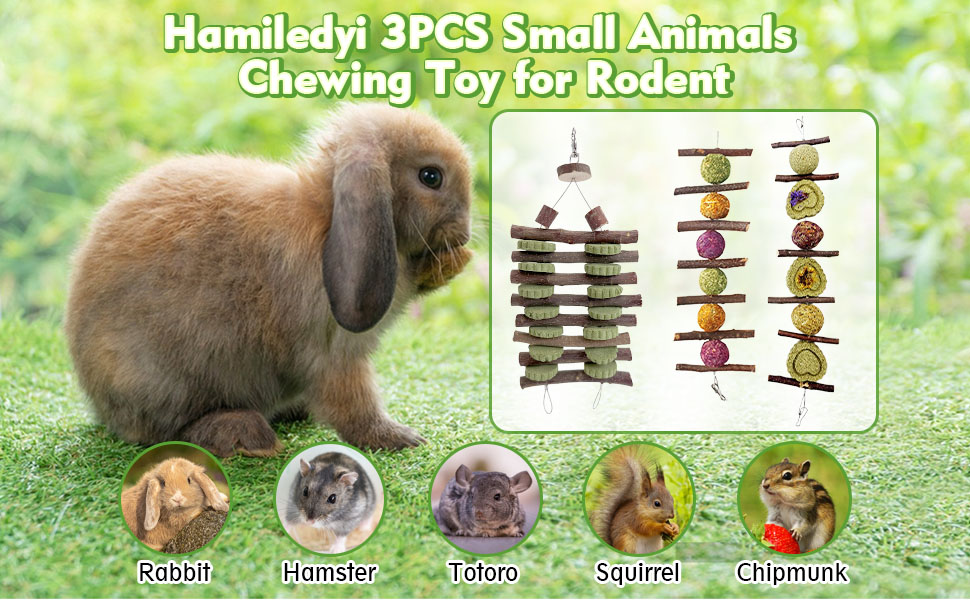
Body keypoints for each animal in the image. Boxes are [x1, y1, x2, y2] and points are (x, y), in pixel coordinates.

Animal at [65, 104, 473, 456]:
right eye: (431, 177)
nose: (465, 234)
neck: (326, 217)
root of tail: (99, 403)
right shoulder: (333, 354)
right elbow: (353, 404)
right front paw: (399, 438)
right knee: (168, 432)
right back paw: (243, 432)